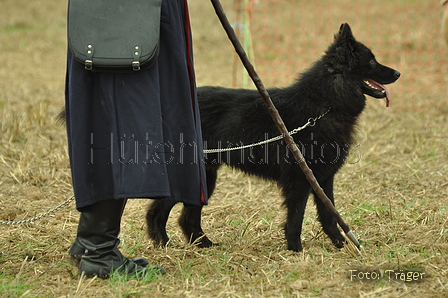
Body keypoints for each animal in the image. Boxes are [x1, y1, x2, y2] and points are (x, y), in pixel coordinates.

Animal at [146, 22, 400, 251]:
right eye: (371, 61)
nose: (398, 73)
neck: (323, 105)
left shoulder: (323, 178)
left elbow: (329, 214)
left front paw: (340, 244)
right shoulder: (299, 180)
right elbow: (296, 217)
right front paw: (296, 249)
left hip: (206, 179)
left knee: (187, 217)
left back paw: (204, 244)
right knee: (158, 211)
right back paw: (164, 244)